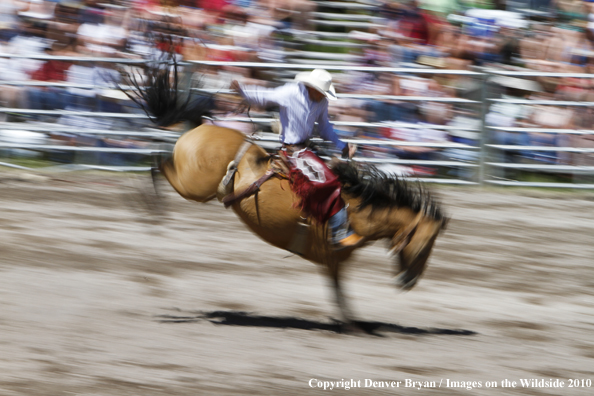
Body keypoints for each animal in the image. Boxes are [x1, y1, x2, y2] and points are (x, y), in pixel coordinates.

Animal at [127, 58, 446, 324]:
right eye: (426, 244)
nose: (410, 282)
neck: (358, 209)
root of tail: (200, 127)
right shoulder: (333, 256)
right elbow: (340, 295)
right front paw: (354, 327)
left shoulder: (332, 263)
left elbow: (338, 293)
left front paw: (353, 324)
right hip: (192, 185)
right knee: (159, 164)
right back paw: (150, 205)